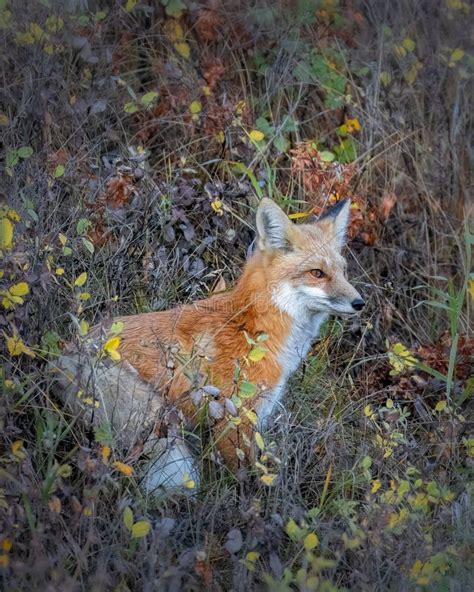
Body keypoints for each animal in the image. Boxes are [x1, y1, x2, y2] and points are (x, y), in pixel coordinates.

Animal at [54, 200, 362, 494]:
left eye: (344, 271)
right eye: (317, 273)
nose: (360, 303)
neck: (253, 328)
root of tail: (63, 357)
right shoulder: (233, 418)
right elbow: (242, 479)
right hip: (160, 420)